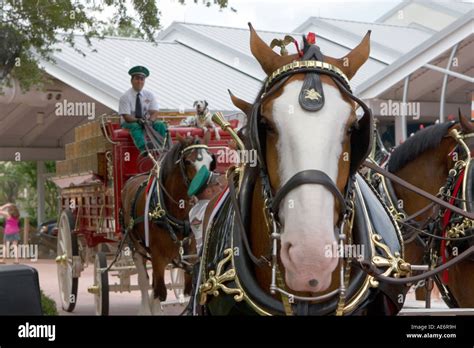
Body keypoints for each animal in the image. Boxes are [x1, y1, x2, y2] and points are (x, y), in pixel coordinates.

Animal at [121, 132, 214, 314]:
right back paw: (145, 308)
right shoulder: (157, 256)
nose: (206, 189)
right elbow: (159, 292)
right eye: (188, 161)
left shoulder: (191, 254)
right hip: (136, 247)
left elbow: (190, 290)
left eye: (210, 160)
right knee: (145, 281)